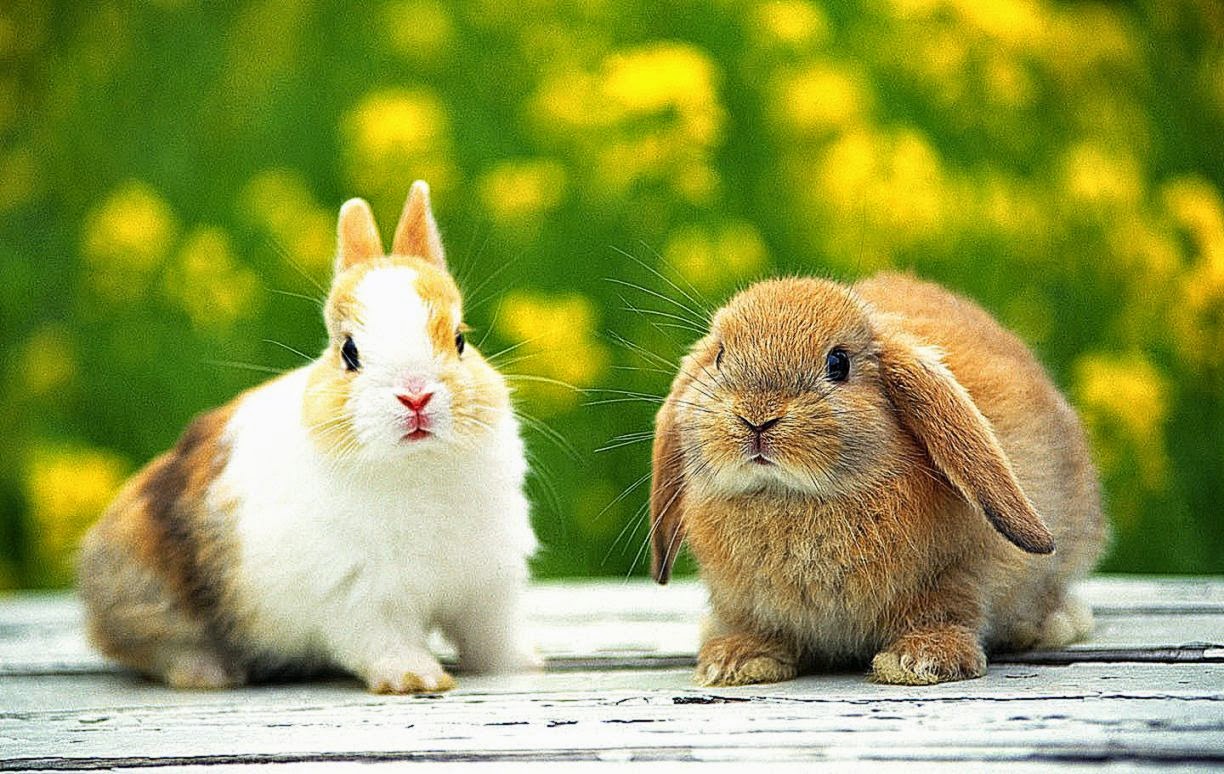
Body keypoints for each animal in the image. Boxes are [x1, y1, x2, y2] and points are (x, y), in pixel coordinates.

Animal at [77, 181, 538, 693]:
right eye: (349, 352)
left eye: (460, 339)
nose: (415, 396)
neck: (416, 467)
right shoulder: (359, 596)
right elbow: (385, 642)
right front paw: (415, 679)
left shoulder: (487, 586)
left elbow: (491, 635)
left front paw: (522, 664)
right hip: (149, 590)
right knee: (146, 646)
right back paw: (210, 672)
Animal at [649, 272, 1107, 686]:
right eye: (720, 357)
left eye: (838, 363)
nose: (757, 417)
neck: (792, 497)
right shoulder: (745, 603)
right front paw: (737, 661)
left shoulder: (956, 576)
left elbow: (947, 610)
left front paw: (921, 662)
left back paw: (1051, 625)